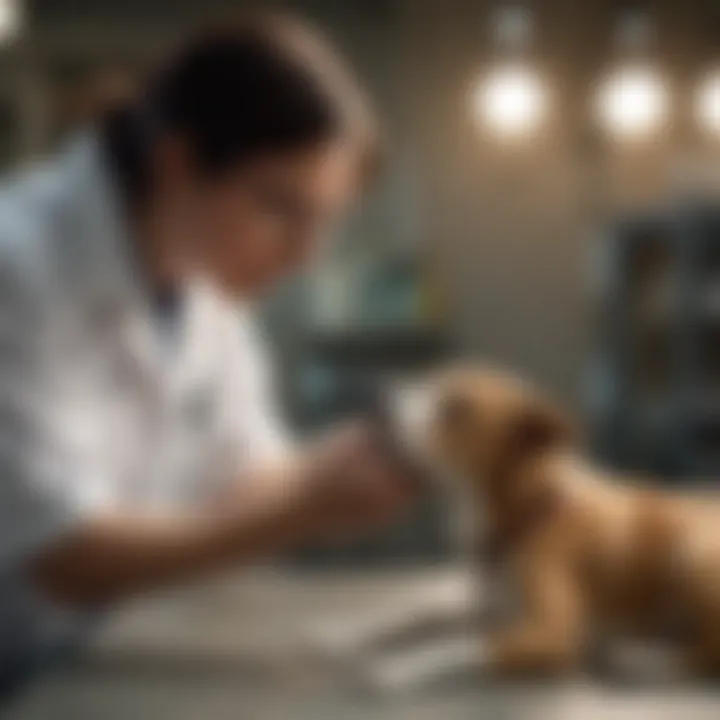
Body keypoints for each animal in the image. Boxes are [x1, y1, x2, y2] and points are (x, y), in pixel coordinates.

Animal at [394, 366, 720, 680]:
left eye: (457, 407)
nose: (388, 392)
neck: (530, 510)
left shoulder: (555, 631)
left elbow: (478, 646)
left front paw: (405, 667)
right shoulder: (487, 604)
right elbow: (435, 616)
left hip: (693, 551)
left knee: (705, 652)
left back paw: (644, 661)